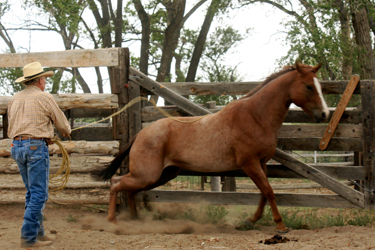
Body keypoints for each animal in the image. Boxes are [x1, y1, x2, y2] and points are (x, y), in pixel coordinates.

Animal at [94, 62, 328, 232]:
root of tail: (141, 134)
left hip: (161, 175)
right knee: (116, 183)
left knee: (130, 190)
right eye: (308, 86)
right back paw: (113, 221)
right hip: (147, 174)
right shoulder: (250, 163)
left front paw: (250, 221)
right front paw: (280, 226)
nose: (324, 114)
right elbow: (269, 191)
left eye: (319, 86)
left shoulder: (262, 163)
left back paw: (136, 220)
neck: (255, 116)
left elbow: (264, 192)